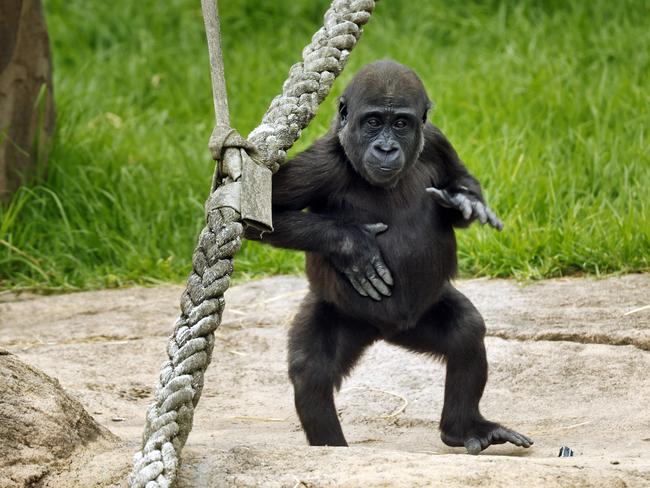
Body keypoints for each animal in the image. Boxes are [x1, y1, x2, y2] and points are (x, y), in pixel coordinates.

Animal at [248, 60, 532, 454]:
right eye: (372, 122)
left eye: (400, 123)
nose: (385, 148)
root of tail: (382, 333)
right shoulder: (321, 163)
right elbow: (259, 217)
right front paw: (354, 247)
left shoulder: (437, 140)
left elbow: (461, 180)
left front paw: (464, 203)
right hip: (345, 314)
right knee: (311, 371)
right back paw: (332, 449)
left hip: (417, 323)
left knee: (465, 330)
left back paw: (463, 427)